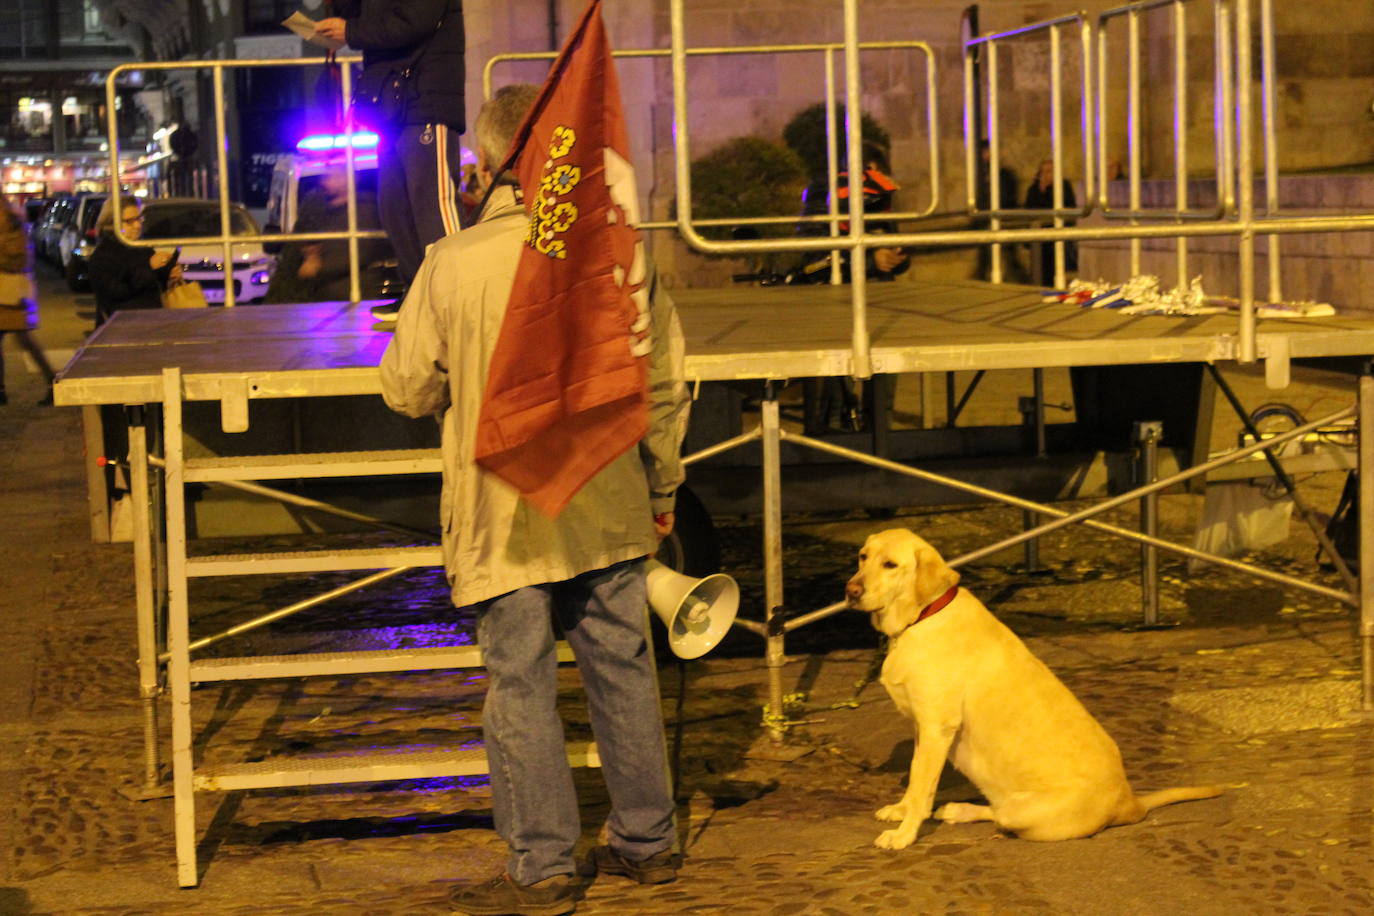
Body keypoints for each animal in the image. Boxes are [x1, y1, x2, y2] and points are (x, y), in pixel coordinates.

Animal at [846, 530, 1225, 851]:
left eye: (891, 565)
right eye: (863, 556)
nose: (851, 591)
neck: (922, 616)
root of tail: (1130, 802)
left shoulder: (937, 728)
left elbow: (921, 788)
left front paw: (904, 834)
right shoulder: (920, 727)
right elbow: (914, 778)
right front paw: (900, 810)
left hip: (1022, 812)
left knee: (1001, 818)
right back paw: (958, 810)